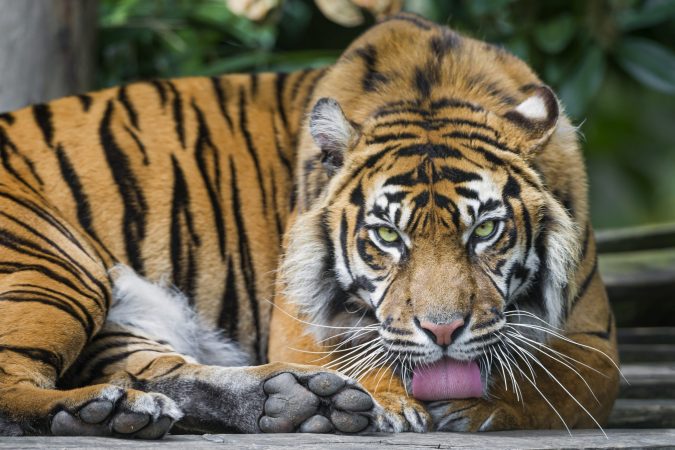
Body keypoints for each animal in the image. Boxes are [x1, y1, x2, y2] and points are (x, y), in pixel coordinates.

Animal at [0, 12, 616, 438]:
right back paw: (99, 413)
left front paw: (467, 405)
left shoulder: (596, 342)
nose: (443, 333)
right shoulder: (298, 326)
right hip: (59, 263)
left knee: (154, 369)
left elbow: (549, 375)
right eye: (387, 237)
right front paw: (395, 403)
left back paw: (292, 400)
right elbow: (356, 354)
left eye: (485, 230)